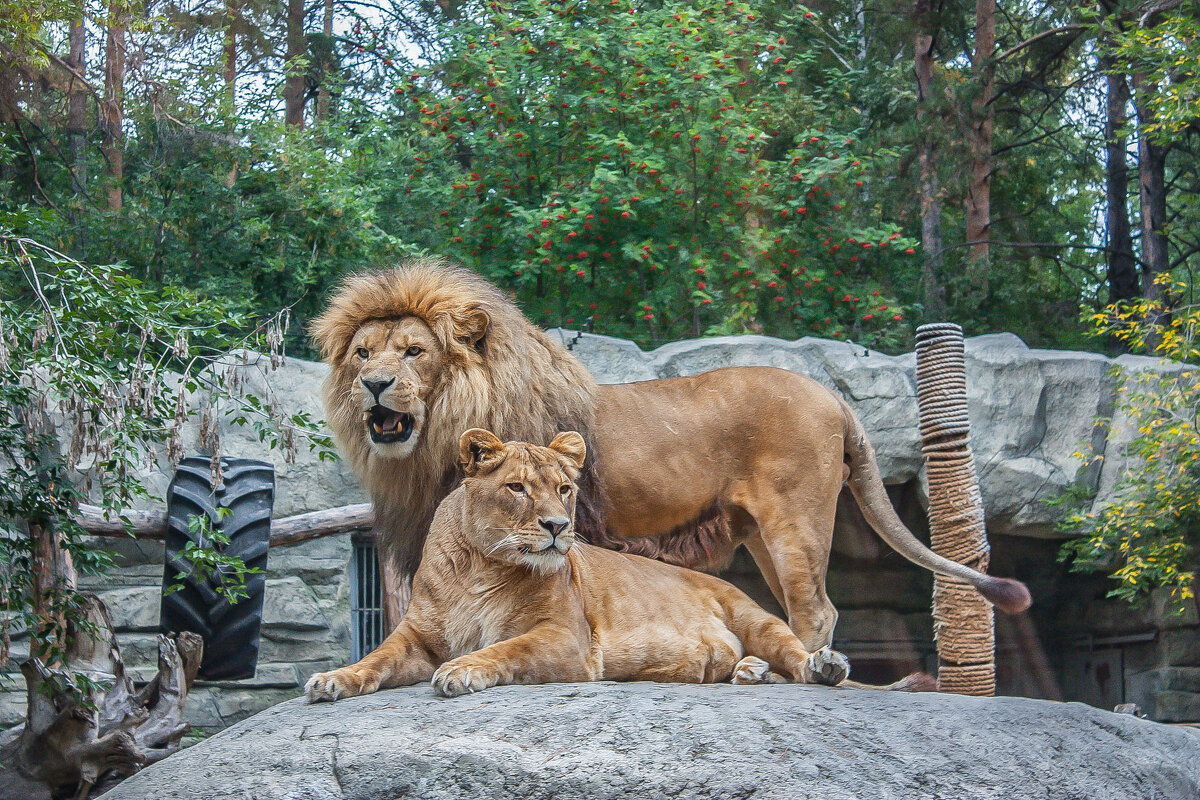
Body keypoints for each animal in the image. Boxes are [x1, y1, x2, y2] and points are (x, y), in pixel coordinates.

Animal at [309, 431, 854, 700]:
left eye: (564, 488)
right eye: (517, 488)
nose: (557, 526)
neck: (481, 567)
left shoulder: (566, 638)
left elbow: (506, 648)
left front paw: (462, 669)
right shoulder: (415, 637)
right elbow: (375, 659)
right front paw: (334, 679)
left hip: (753, 615)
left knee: (800, 659)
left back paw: (819, 666)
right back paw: (749, 672)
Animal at [314, 260, 1036, 652]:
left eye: (414, 352)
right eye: (363, 352)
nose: (373, 383)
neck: (426, 445)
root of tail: (832, 396)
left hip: (796, 522)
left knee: (818, 610)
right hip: (764, 538)